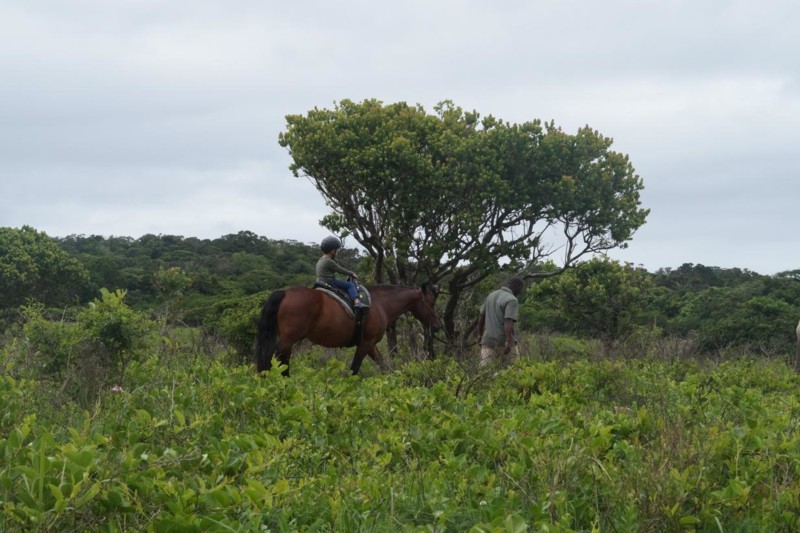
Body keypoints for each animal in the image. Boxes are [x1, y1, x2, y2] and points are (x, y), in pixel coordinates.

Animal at [256, 282, 440, 374]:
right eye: (431, 303)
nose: (437, 326)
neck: (380, 303)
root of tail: (284, 293)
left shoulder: (371, 345)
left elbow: (383, 365)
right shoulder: (365, 344)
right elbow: (354, 369)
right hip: (288, 341)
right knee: (276, 360)